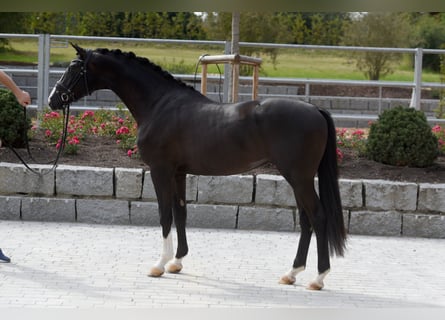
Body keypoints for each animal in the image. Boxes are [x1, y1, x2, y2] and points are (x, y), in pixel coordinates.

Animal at [49, 43, 346, 292]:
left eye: (74, 69)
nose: (53, 99)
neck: (159, 105)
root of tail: (315, 110)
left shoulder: (160, 170)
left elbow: (165, 215)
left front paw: (159, 265)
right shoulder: (179, 172)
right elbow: (181, 213)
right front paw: (177, 262)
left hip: (299, 177)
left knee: (318, 217)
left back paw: (318, 278)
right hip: (297, 179)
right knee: (306, 220)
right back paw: (291, 273)